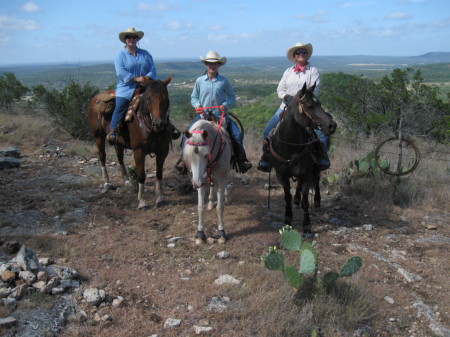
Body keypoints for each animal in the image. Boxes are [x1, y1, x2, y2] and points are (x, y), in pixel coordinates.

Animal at [87, 75, 172, 209]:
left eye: (166, 99)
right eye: (149, 99)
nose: (159, 124)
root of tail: (96, 97)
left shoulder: (163, 151)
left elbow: (159, 173)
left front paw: (160, 197)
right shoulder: (138, 152)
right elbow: (141, 175)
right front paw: (141, 201)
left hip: (118, 142)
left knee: (119, 157)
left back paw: (127, 181)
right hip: (98, 136)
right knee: (102, 156)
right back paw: (106, 182)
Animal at [268, 82, 336, 235]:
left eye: (320, 103)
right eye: (310, 106)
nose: (332, 126)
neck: (290, 147)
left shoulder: (306, 174)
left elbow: (306, 201)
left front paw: (307, 226)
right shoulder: (281, 175)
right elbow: (287, 197)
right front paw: (287, 221)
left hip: (316, 168)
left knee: (316, 180)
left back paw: (317, 201)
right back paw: (296, 200)